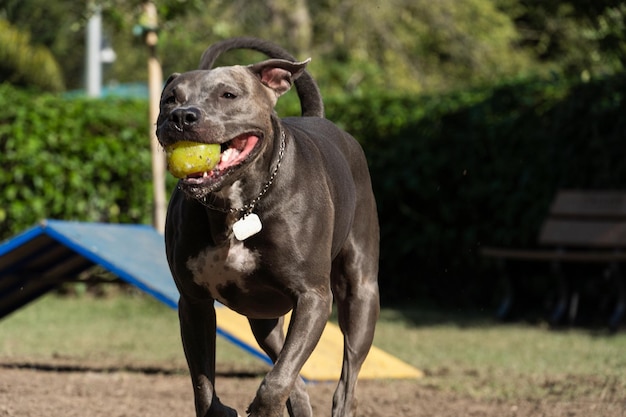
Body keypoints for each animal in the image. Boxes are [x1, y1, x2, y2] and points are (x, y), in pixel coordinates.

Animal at [158, 38, 378, 416]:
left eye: (228, 94)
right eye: (169, 98)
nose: (182, 116)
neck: (237, 207)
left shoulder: (313, 298)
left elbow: (277, 381)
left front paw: (261, 408)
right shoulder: (193, 303)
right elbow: (203, 384)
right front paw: (222, 409)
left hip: (361, 292)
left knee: (345, 379)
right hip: (262, 316)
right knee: (293, 375)